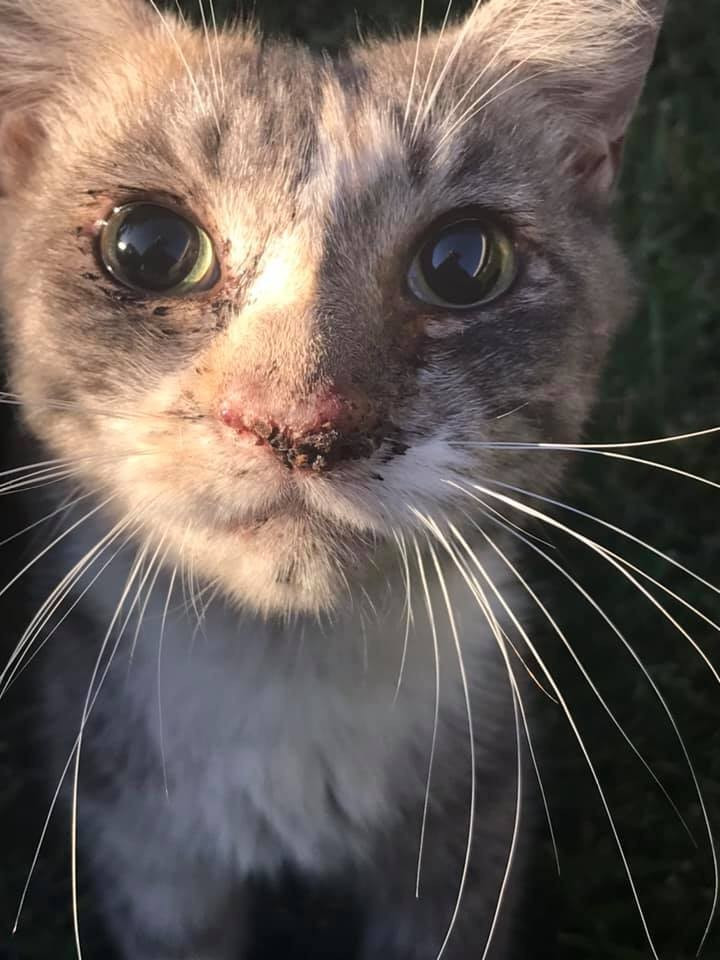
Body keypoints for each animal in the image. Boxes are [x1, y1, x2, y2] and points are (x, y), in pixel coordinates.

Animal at [0, 0, 667, 957]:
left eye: (465, 262)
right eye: (150, 247)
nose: (303, 424)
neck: (292, 676)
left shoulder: (472, 841)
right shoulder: (144, 849)